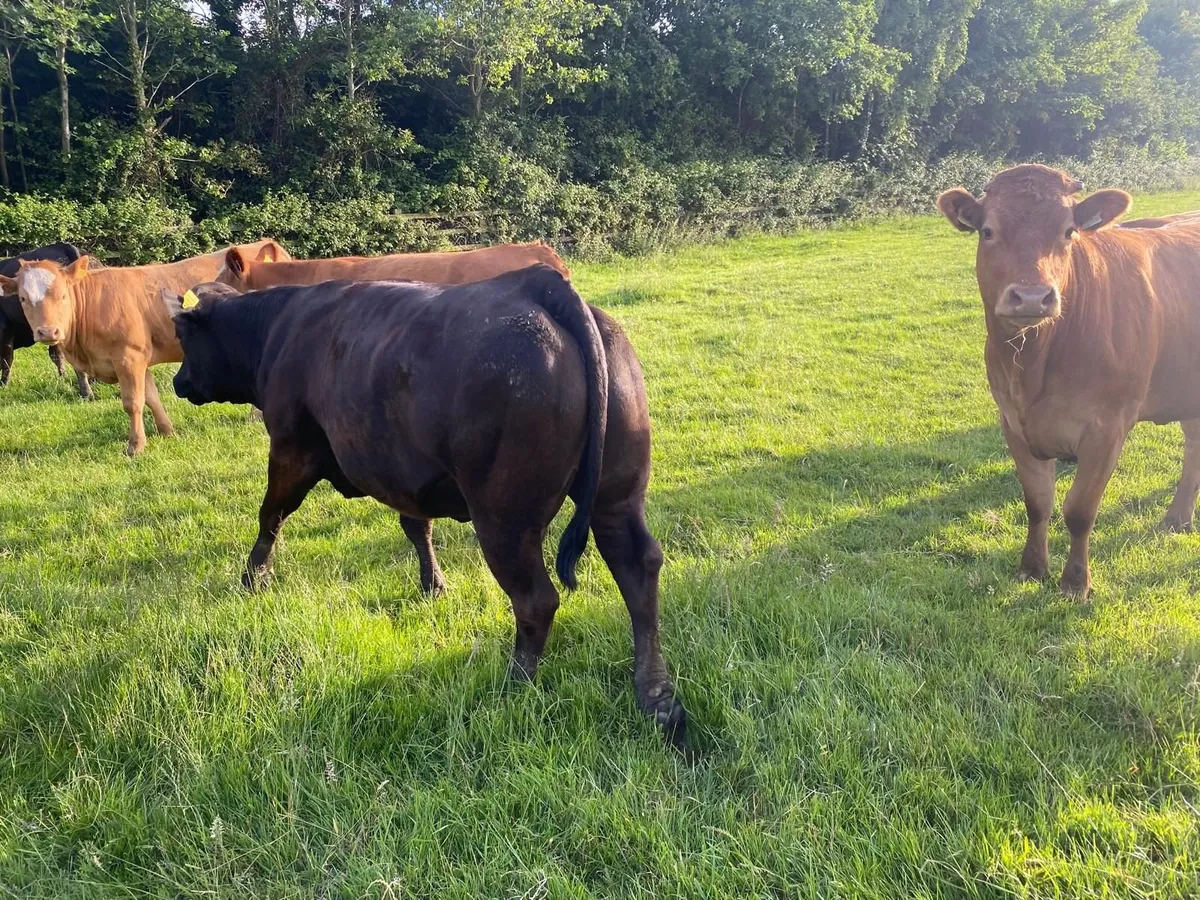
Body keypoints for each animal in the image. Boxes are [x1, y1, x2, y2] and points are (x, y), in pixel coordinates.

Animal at [1, 242, 93, 398]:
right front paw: (63, 379)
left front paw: (3, 385)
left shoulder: (5, 329)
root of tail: (63, 246)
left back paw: (86, 392)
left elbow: (7, 360)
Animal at [164, 268, 686, 744]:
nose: (178, 381)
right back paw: (656, 696)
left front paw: (253, 578)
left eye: (182, 335)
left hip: (504, 517)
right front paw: (433, 584)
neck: (278, 328)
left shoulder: (293, 449)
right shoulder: (402, 471)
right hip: (616, 494)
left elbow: (270, 514)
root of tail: (540, 283)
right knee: (637, 568)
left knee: (536, 599)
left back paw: (514, 685)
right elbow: (417, 527)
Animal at [937, 163, 1200, 599]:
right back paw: (1176, 519)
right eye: (987, 230)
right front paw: (1032, 569)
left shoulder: (1107, 428)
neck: (1034, 364)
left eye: (1069, 231)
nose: (1031, 297)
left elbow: (1079, 510)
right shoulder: (1012, 422)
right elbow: (1038, 502)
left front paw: (1075, 583)